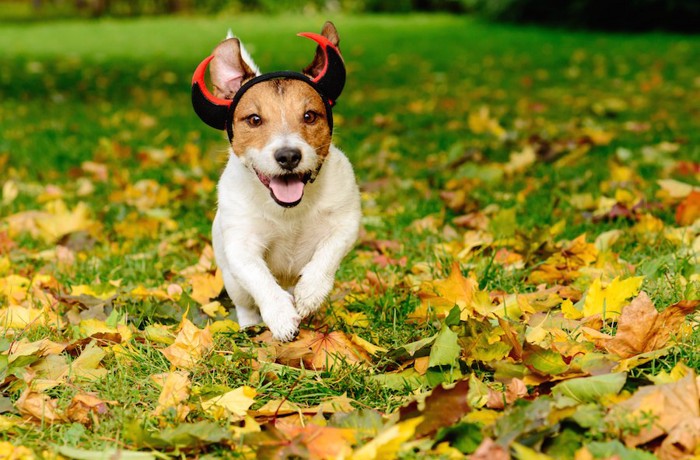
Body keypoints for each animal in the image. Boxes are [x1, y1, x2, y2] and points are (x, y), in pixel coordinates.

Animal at [193, 21, 360, 340]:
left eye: (309, 116)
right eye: (254, 119)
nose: (288, 156)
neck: (289, 211)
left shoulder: (346, 223)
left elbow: (328, 252)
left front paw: (311, 291)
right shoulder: (241, 246)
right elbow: (259, 278)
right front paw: (280, 315)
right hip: (233, 283)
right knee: (246, 304)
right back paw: (250, 326)